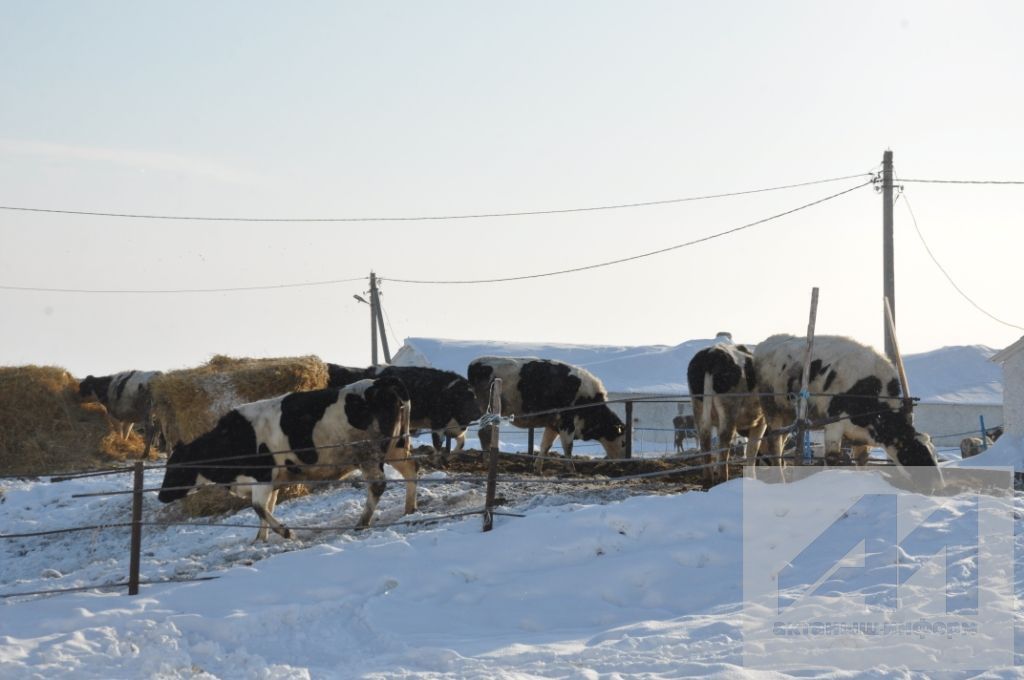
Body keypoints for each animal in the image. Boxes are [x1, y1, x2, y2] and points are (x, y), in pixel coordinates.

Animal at [157, 376, 413, 540]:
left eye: (177, 468)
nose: (161, 496)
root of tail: (381, 382)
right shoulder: (272, 480)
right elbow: (267, 507)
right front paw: (260, 539)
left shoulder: (261, 476)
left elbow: (259, 507)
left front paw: (286, 532)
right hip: (396, 448)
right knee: (412, 468)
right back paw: (410, 508)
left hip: (368, 453)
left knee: (378, 485)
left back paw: (362, 522)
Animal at [464, 356, 622, 473]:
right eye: (623, 440)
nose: (622, 462)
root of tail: (476, 363)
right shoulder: (567, 422)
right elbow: (568, 446)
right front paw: (572, 470)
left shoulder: (553, 424)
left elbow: (546, 445)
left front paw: (538, 468)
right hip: (490, 409)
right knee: (485, 433)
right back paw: (487, 463)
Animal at [688, 346, 770, 483]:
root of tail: (712, 353)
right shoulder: (761, 421)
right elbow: (752, 448)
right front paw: (752, 477)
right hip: (729, 408)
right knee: (724, 440)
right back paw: (723, 478)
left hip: (698, 406)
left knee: (705, 438)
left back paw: (708, 479)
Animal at [749, 333, 937, 473]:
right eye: (916, 452)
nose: (937, 485)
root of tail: (765, 343)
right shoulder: (834, 424)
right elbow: (832, 458)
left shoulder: (860, 435)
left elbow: (861, 460)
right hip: (771, 408)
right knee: (773, 446)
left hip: (788, 416)